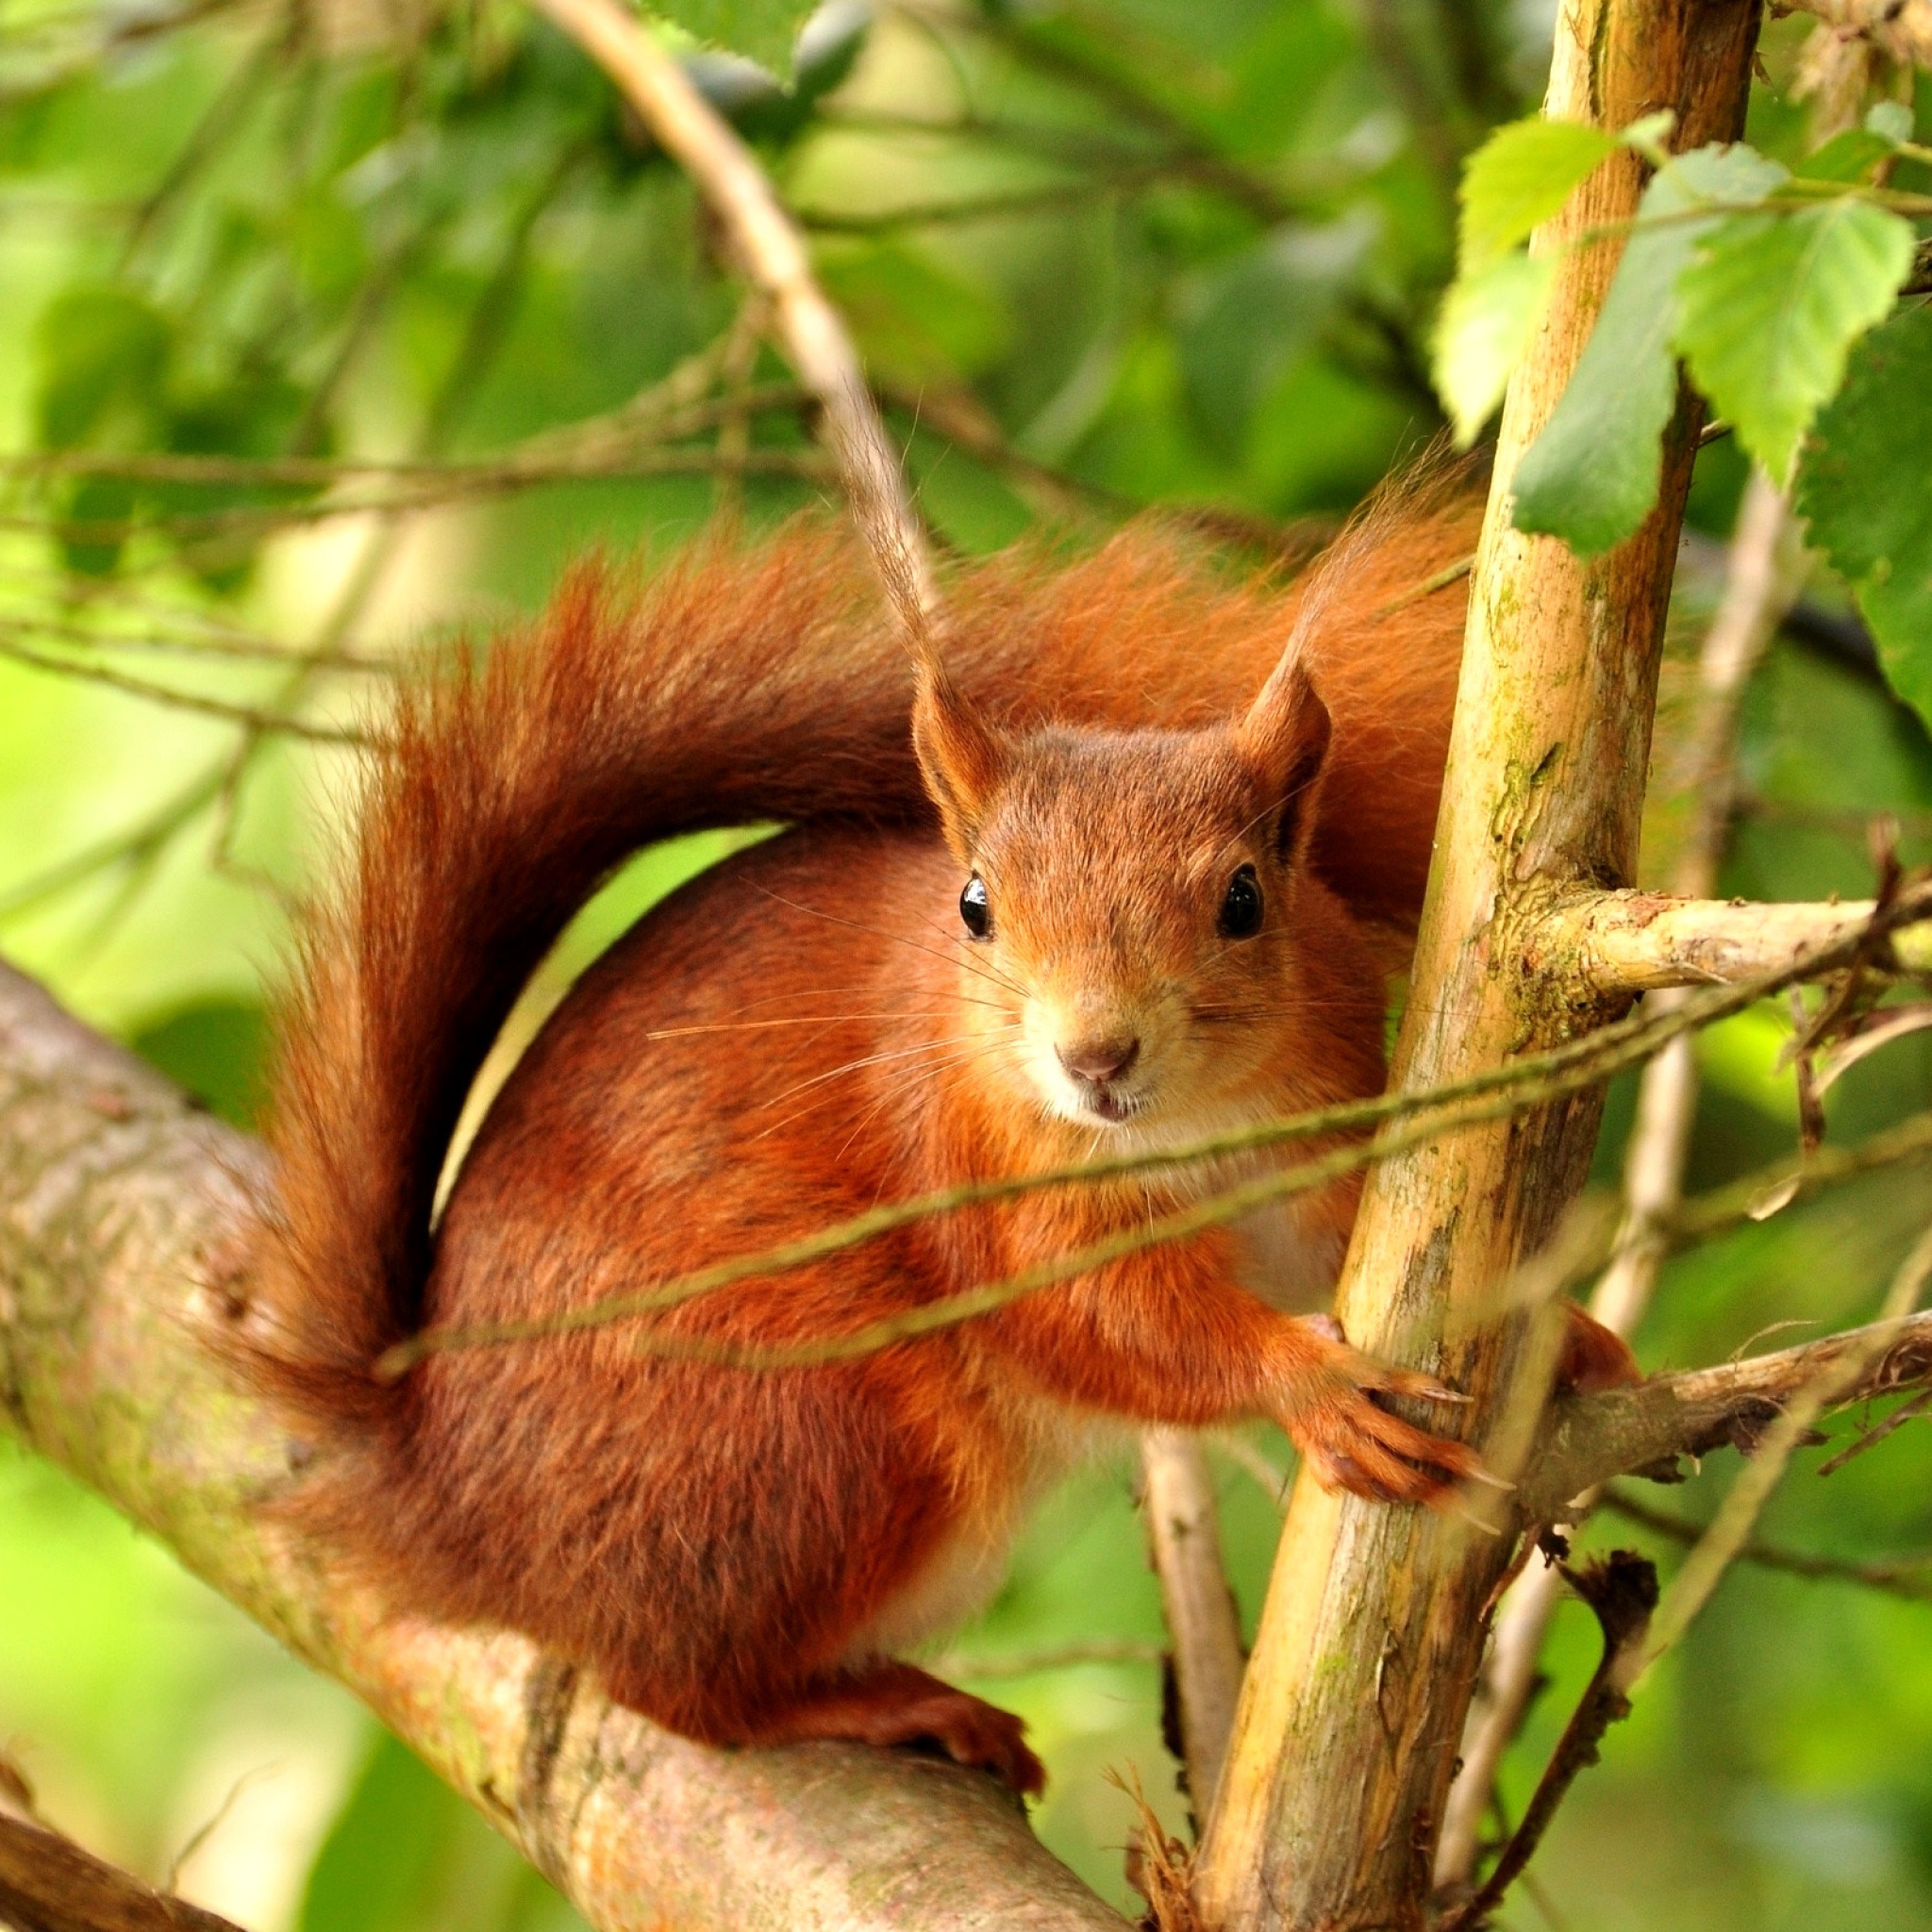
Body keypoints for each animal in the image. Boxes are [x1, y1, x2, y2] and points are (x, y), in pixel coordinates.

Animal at [245, 494, 1630, 1792]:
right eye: (975, 906)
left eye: (1243, 898)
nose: (1094, 1057)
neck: (1189, 1126)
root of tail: (445, 1503)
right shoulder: (975, 1171)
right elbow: (1102, 1318)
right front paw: (1312, 1386)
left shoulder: (1320, 1128)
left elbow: (1351, 1240)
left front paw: (1563, 1329)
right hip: (821, 1437)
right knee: (677, 1689)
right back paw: (882, 1701)